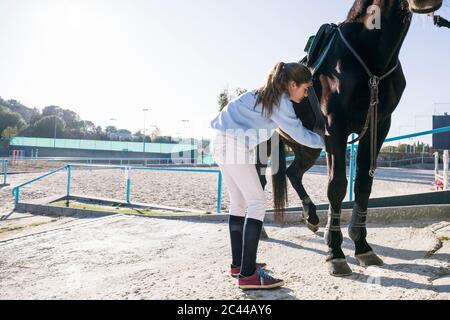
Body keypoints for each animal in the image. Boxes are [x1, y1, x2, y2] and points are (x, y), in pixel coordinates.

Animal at [258, 0, 444, 276]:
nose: (425, 2)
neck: (369, 56)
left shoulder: (379, 124)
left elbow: (364, 185)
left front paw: (362, 246)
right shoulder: (336, 126)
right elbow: (336, 186)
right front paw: (335, 253)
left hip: (308, 146)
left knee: (293, 173)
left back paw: (312, 218)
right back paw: (260, 229)